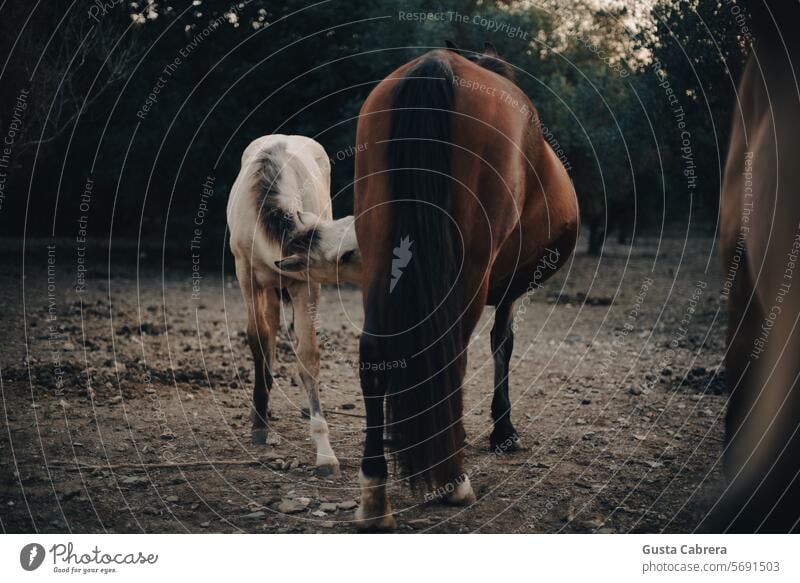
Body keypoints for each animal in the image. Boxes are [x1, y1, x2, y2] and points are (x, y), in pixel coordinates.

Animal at [227, 133, 360, 480]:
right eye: (345, 255)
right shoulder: (245, 275)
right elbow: (257, 338)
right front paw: (259, 423)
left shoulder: (306, 285)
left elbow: (308, 354)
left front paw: (325, 454)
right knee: (270, 328)